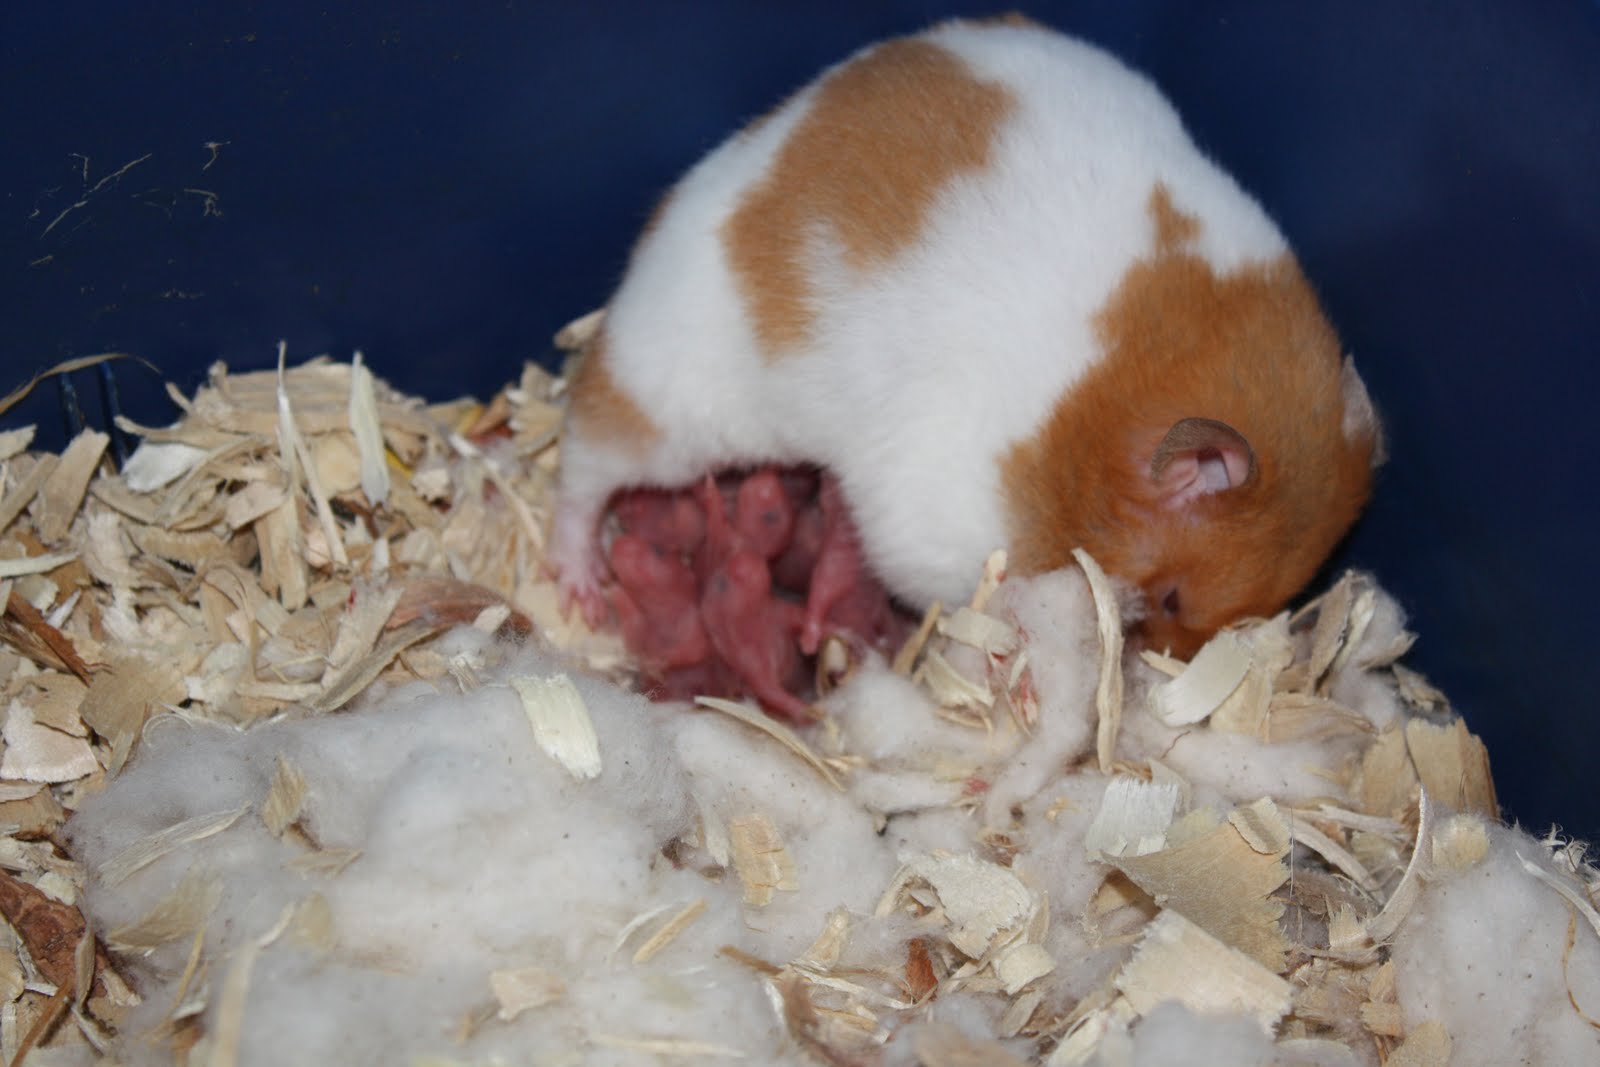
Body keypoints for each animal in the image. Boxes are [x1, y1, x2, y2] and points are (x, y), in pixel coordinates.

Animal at [550, 15, 1382, 659]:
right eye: (1173, 599)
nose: (1158, 671)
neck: (1087, 430)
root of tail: (667, 218)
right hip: (676, 402)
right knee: (586, 459)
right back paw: (577, 586)